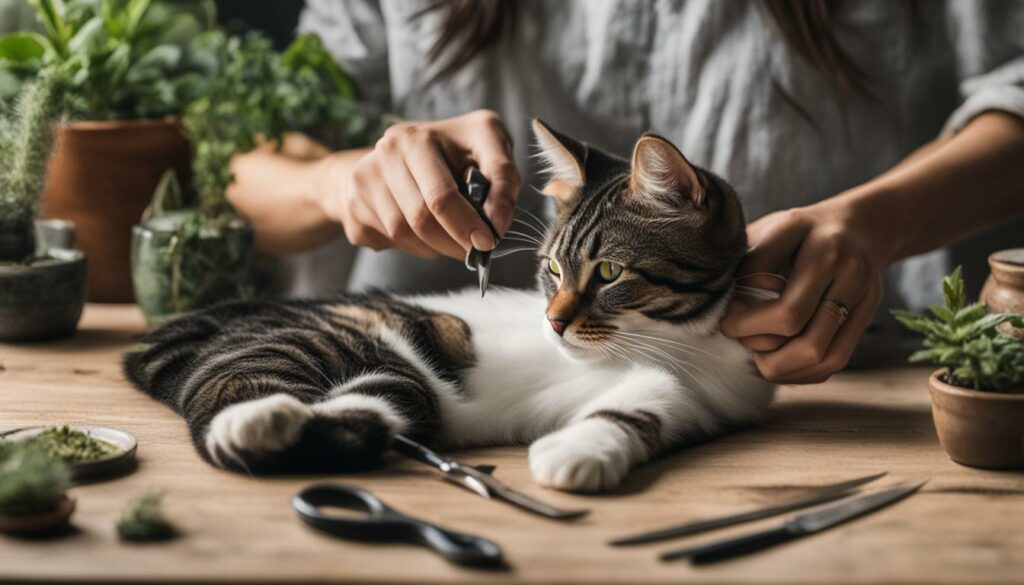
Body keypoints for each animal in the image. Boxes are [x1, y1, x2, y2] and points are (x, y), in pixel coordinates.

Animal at [123, 120, 770, 493]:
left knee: (385, 402)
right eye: (554, 270)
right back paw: (255, 420)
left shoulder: (702, 396)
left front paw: (576, 452)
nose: (554, 321)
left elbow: (644, 404)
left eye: (609, 272)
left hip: (397, 378)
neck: (663, 340)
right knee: (230, 390)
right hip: (333, 336)